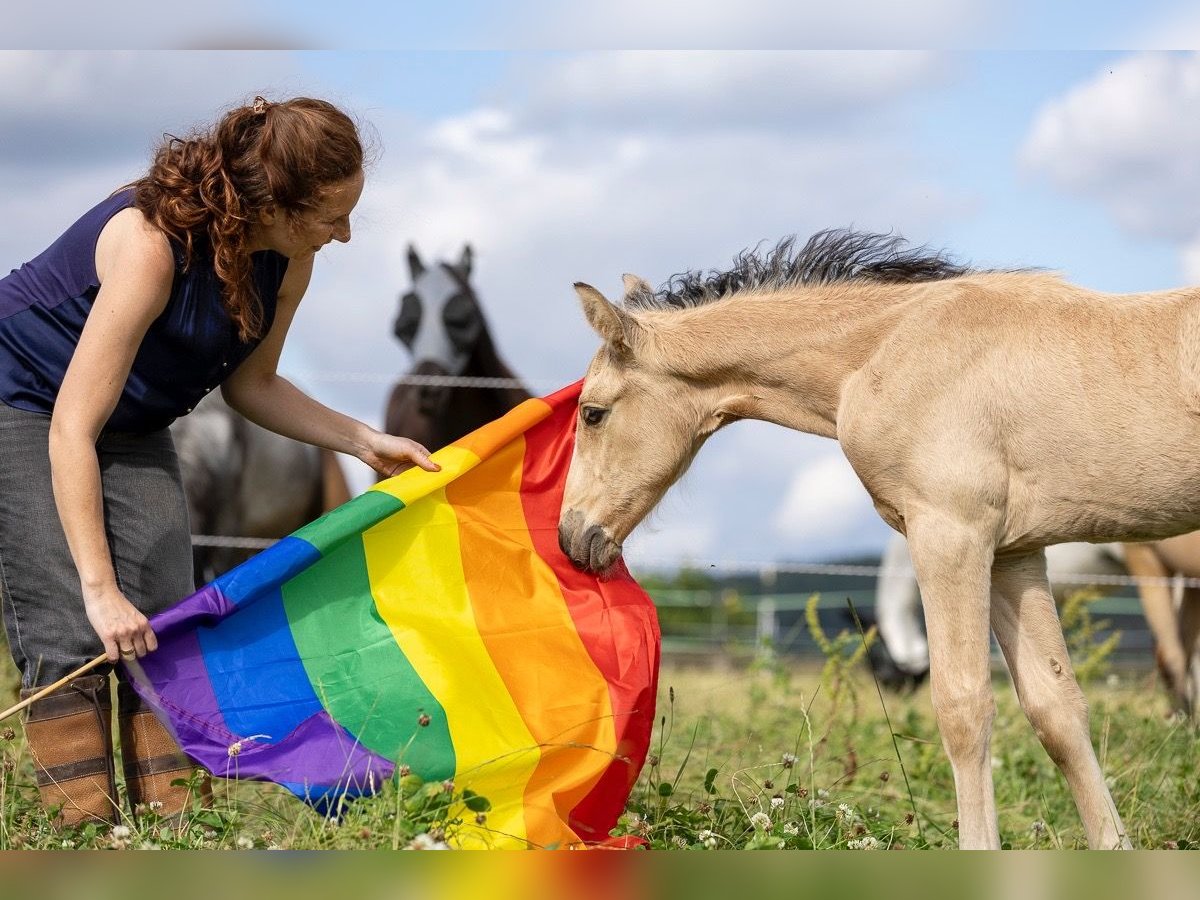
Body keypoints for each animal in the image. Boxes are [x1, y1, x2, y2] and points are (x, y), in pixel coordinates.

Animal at [552, 229, 1200, 849]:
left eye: (592, 413)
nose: (572, 538)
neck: (884, 353)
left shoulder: (950, 533)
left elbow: (964, 707)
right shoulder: (1014, 552)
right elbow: (1057, 709)